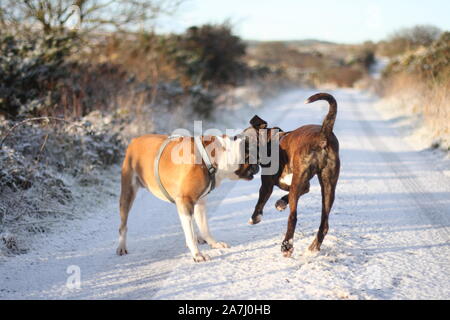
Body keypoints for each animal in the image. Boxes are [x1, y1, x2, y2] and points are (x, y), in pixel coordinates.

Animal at [116, 133, 258, 262]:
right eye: (252, 157)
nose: (258, 166)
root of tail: (135, 140)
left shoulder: (199, 203)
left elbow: (204, 227)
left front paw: (213, 243)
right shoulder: (185, 201)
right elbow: (190, 234)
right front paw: (197, 254)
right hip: (127, 194)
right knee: (123, 225)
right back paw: (121, 247)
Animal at [248, 93, 340, 258]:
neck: (271, 142)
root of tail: (323, 133)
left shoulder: (267, 185)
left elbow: (260, 202)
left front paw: (254, 218)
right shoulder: (304, 186)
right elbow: (287, 196)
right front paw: (281, 203)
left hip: (300, 182)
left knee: (293, 217)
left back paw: (287, 246)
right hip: (328, 185)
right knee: (324, 222)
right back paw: (313, 247)